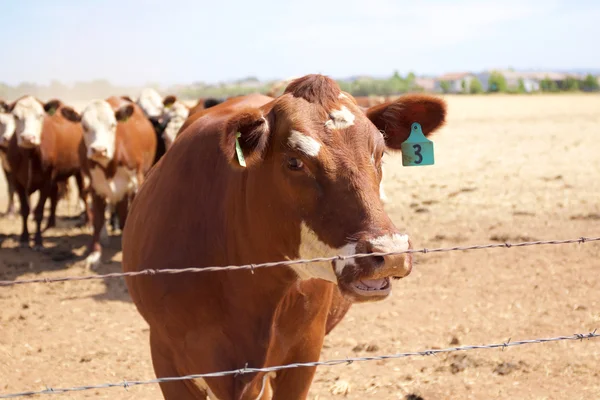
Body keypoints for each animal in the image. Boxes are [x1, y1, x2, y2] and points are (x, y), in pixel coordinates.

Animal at [6, 95, 90, 248]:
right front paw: (24, 238)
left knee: (83, 193)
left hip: (79, 170)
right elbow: (25, 210)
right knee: (55, 195)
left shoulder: (46, 181)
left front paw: (38, 240)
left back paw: (87, 221)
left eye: (40, 115)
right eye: (15, 116)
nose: (28, 138)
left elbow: (39, 211)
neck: (30, 155)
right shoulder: (17, 181)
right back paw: (50, 223)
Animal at [77, 95, 157, 268]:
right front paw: (94, 254)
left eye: (112, 125)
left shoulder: (135, 184)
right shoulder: (97, 187)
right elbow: (99, 220)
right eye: (84, 126)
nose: (99, 150)